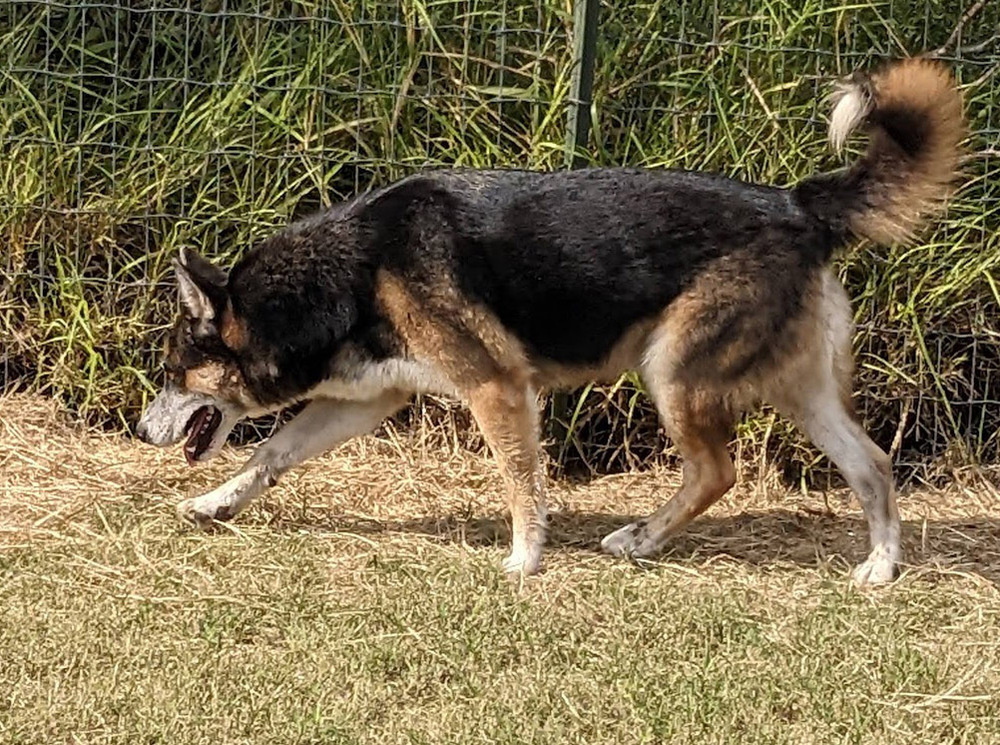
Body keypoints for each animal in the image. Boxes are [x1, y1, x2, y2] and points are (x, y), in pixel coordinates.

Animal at [137, 59, 964, 580]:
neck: (355, 268)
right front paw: (214, 504)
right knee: (873, 465)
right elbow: (270, 453)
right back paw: (879, 568)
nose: (139, 432)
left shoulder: (497, 387)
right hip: (801, 391)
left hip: (675, 374)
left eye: (173, 373)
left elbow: (521, 482)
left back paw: (642, 538)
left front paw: (524, 559)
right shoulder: (371, 397)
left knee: (717, 470)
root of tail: (797, 202)